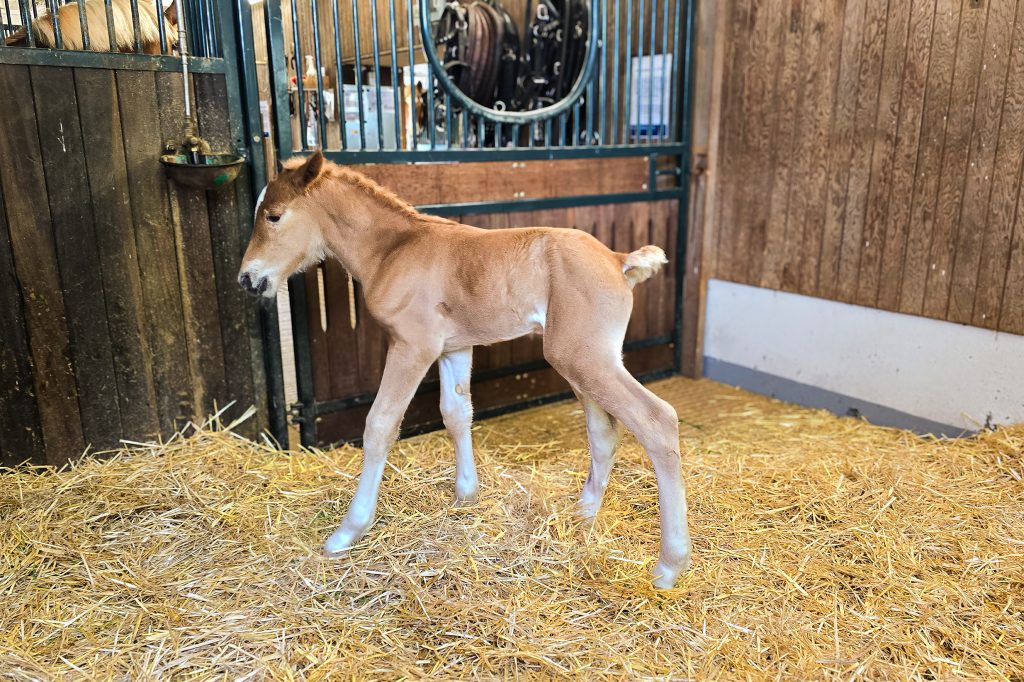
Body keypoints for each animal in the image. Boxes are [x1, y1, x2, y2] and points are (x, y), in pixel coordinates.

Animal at [235, 151, 692, 585]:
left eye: (274, 216)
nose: (246, 279)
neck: (392, 249)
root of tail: (618, 260)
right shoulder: (453, 349)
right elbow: (456, 415)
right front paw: (465, 498)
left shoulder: (411, 346)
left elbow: (380, 425)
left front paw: (348, 531)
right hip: (585, 361)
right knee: (604, 430)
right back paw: (583, 514)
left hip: (583, 358)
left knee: (656, 420)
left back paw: (669, 566)